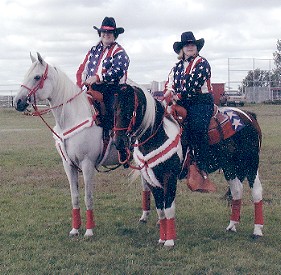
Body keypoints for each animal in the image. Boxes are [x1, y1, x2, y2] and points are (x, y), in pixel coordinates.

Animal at [13, 53, 123, 237]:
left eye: (37, 77)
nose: (17, 102)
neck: (74, 116)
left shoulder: (87, 164)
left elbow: (88, 197)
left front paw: (89, 231)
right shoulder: (68, 165)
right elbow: (75, 196)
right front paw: (75, 229)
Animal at [113, 83, 262, 244]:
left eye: (129, 108)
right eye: (114, 108)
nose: (118, 142)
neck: (158, 134)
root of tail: (248, 116)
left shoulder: (169, 177)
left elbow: (168, 208)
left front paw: (169, 241)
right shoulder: (151, 179)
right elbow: (160, 210)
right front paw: (162, 239)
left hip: (251, 163)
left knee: (256, 192)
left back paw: (257, 231)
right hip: (229, 166)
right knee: (237, 191)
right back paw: (232, 225)